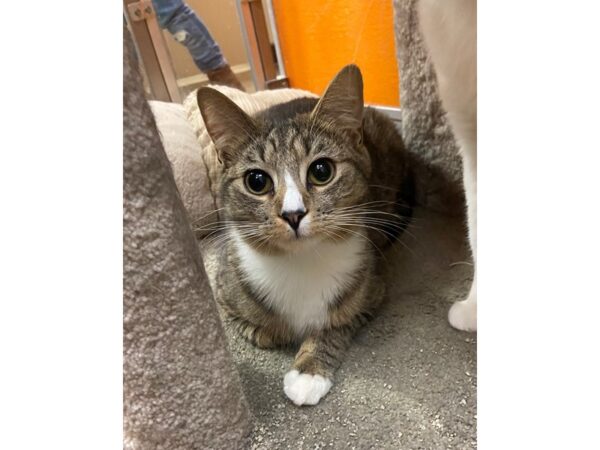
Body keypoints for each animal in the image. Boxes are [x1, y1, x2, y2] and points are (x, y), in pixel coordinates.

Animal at [197, 65, 412, 406]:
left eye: (321, 171)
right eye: (256, 181)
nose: (293, 214)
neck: (301, 263)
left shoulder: (374, 287)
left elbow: (338, 323)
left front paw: (309, 371)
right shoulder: (223, 291)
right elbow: (255, 327)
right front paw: (271, 332)